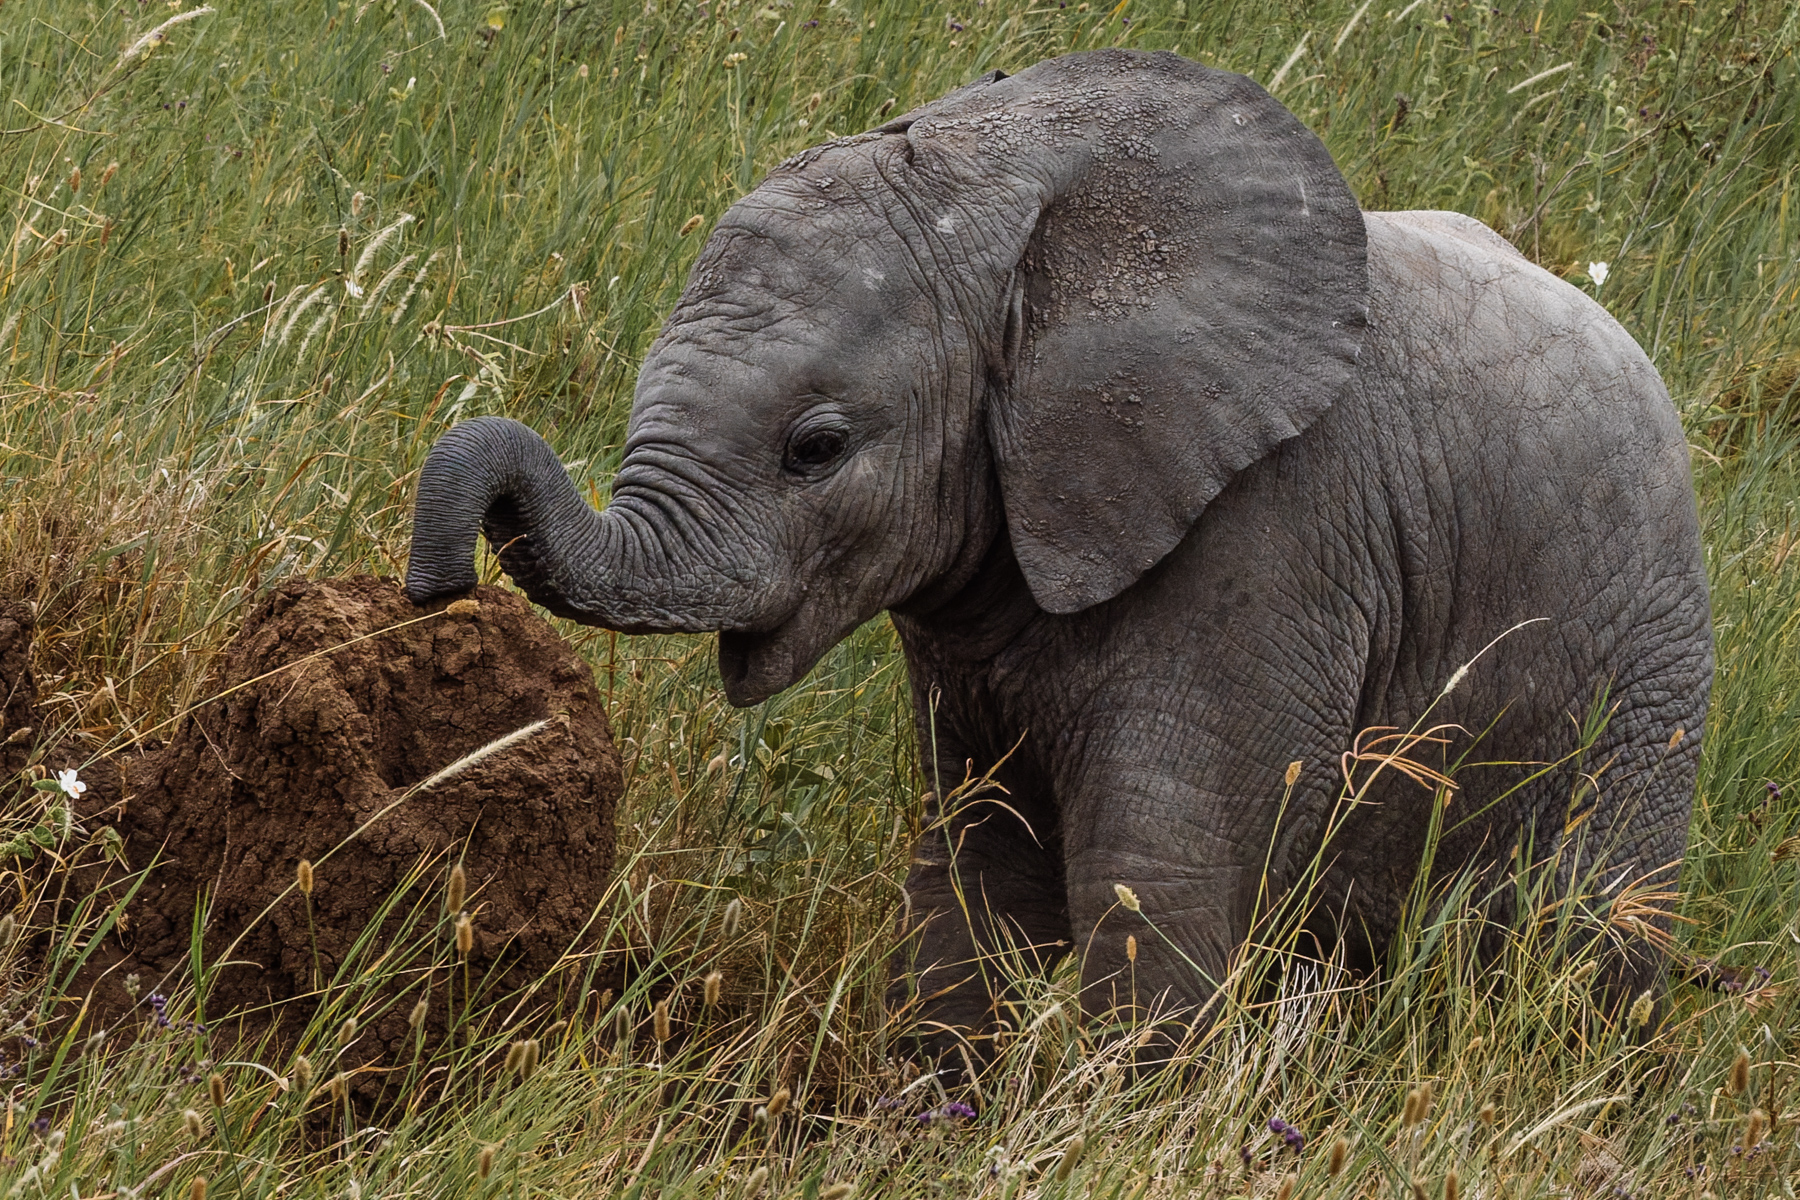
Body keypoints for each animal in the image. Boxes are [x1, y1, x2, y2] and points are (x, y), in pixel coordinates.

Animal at [405, 50, 1712, 1058]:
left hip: (1639, 690)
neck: (1009, 204)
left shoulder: (1274, 536)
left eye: (816, 448)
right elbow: (979, 856)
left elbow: (1156, 874)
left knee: (1572, 949)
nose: (436, 593)